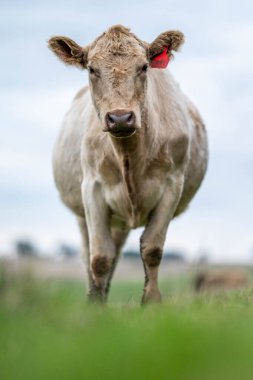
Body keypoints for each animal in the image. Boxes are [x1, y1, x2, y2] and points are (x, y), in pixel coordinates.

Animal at [48, 24, 208, 302]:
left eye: (144, 66)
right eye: (91, 69)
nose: (120, 117)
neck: (130, 155)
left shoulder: (172, 185)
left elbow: (152, 249)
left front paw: (151, 301)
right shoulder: (92, 188)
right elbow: (99, 257)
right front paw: (95, 305)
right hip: (83, 214)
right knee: (90, 254)